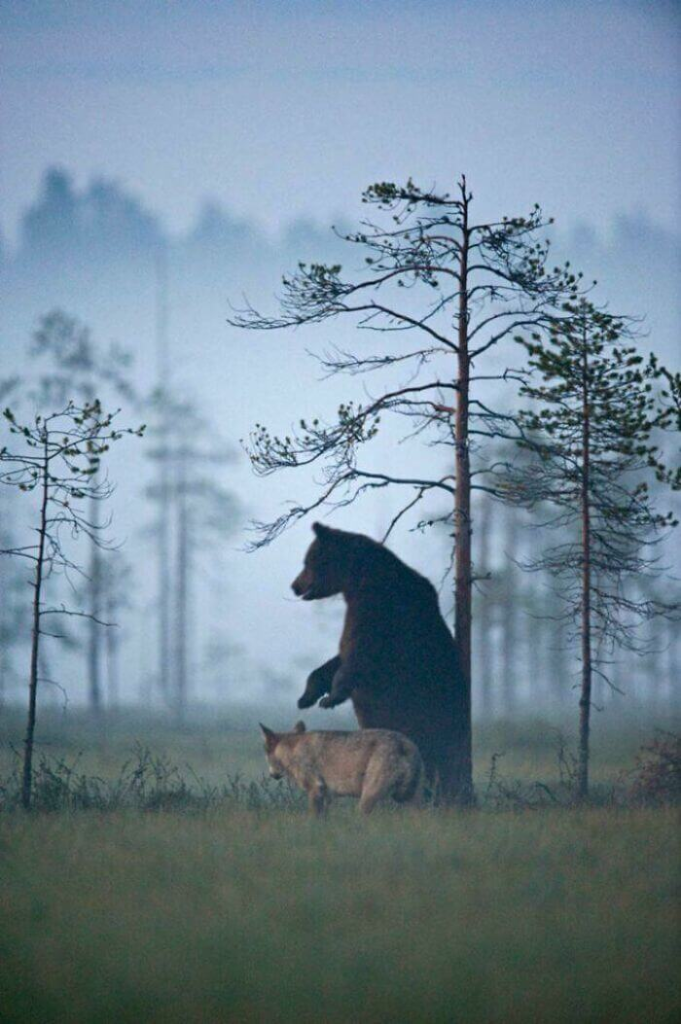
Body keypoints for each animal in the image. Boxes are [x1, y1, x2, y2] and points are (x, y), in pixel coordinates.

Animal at [288, 524, 471, 802]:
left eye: (308, 561)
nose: (295, 586)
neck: (359, 581)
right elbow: (337, 658)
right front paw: (307, 696)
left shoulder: (380, 613)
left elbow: (359, 655)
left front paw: (331, 697)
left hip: (428, 717)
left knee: (437, 756)